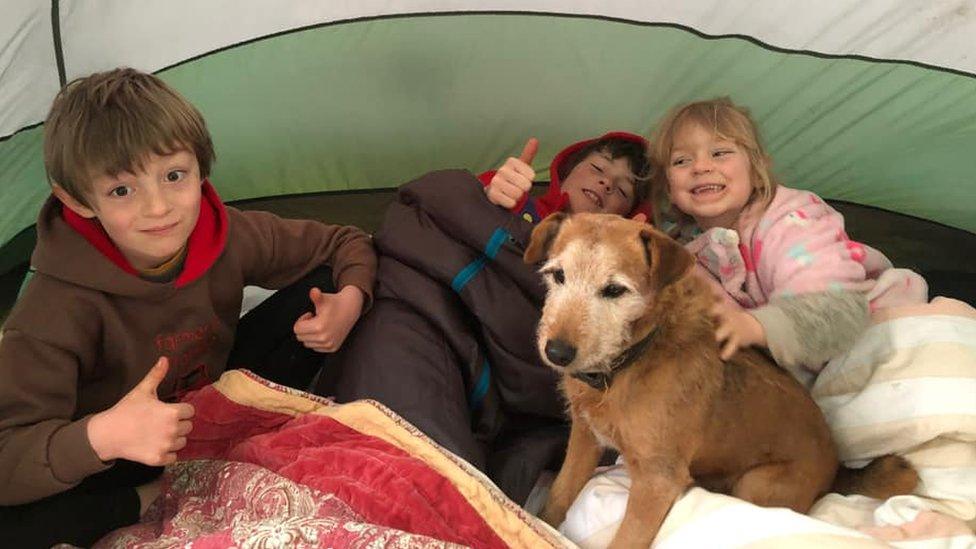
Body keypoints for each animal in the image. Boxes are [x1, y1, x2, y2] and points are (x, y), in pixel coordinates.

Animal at [528, 212, 916, 544]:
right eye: (557, 275)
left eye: (614, 290)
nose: (557, 352)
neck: (632, 361)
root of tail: (837, 467)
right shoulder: (585, 438)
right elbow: (559, 495)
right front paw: (542, 523)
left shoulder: (656, 481)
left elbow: (628, 539)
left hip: (757, 484)